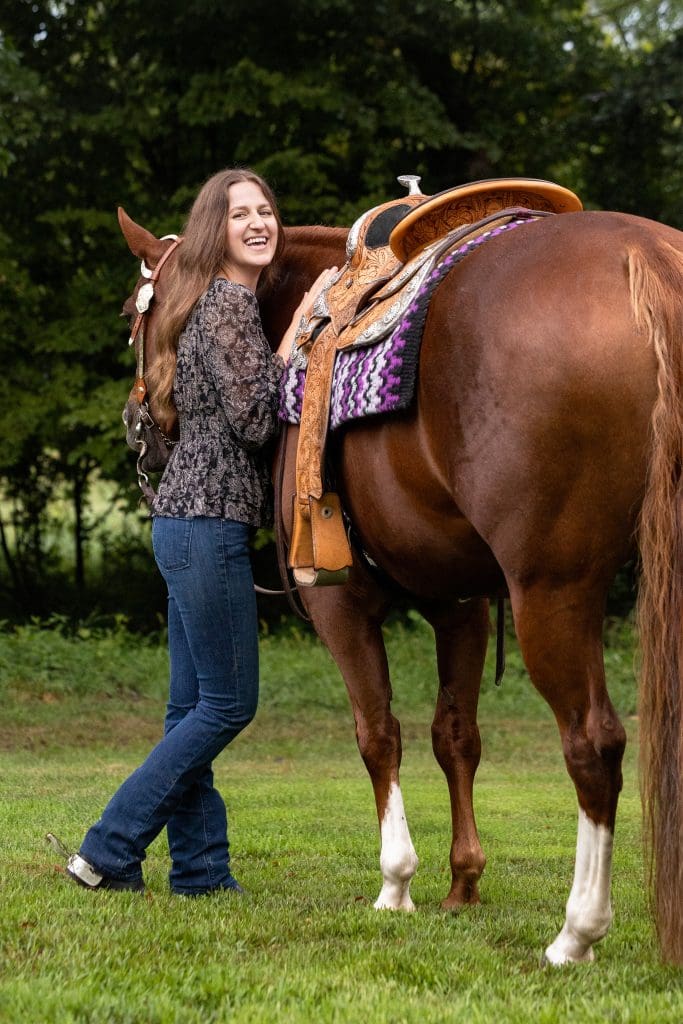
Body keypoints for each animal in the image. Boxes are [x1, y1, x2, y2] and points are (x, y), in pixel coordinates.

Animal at [117, 202, 683, 966]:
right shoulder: (461, 604)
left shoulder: (337, 601)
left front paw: (396, 883)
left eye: (131, 312)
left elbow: (378, 733)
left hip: (553, 592)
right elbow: (455, 735)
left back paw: (577, 932)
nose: (138, 426)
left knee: (592, 745)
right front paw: (462, 882)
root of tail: (641, 253)